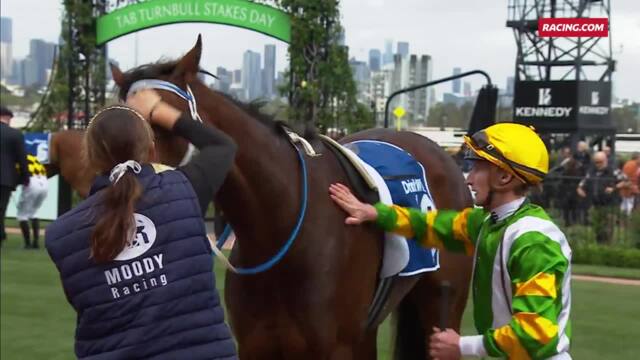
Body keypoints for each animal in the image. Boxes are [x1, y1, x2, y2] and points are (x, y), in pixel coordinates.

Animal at [110, 38, 472, 358]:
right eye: (110, 120)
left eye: (159, 119)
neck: (281, 230)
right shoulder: (256, 347)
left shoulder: (333, 349)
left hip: (443, 306)